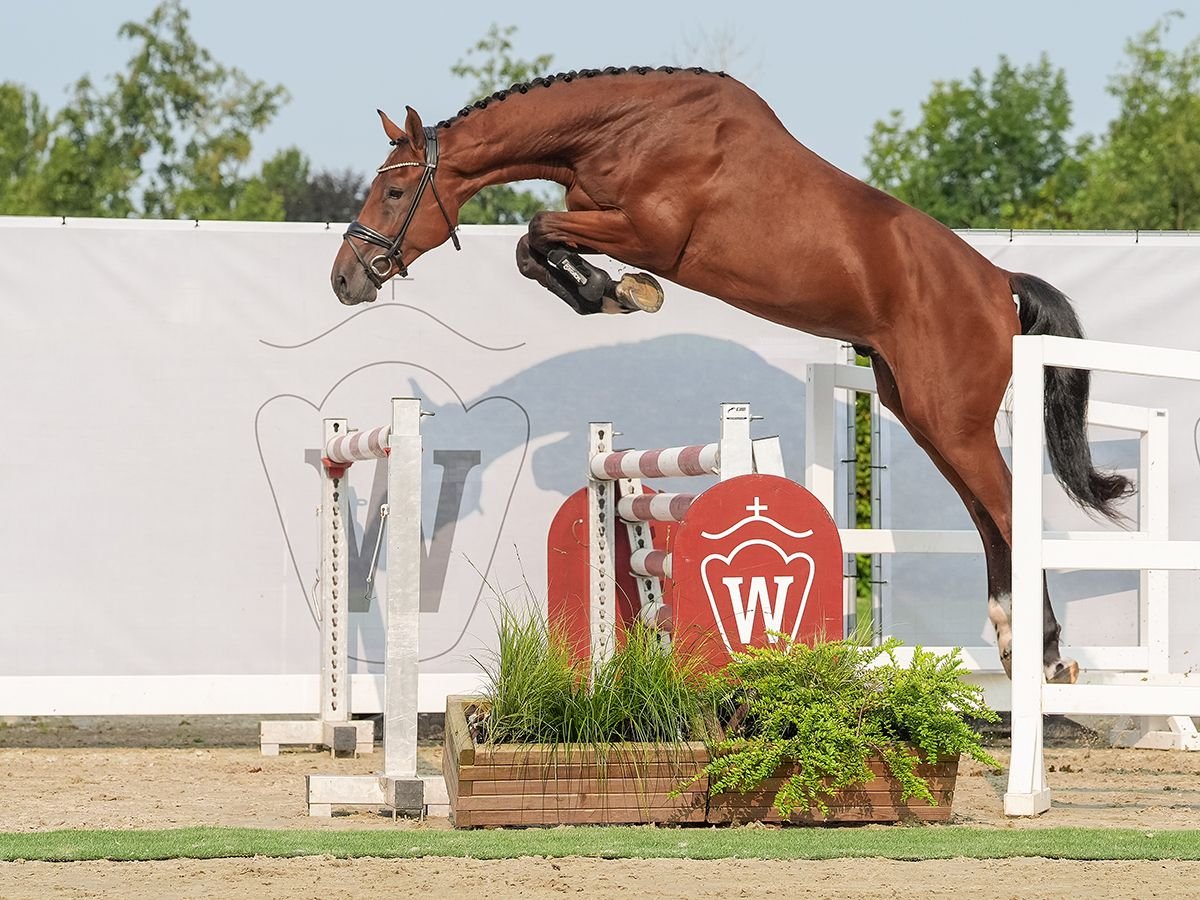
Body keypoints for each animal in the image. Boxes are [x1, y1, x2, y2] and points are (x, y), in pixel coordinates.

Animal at [331, 65, 1132, 681]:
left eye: (395, 194)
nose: (345, 279)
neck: (623, 129)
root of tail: (998, 283)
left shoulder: (647, 232)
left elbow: (536, 231)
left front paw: (621, 292)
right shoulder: (600, 218)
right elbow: (535, 246)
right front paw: (611, 292)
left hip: (950, 418)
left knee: (1006, 511)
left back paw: (1047, 654)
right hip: (923, 414)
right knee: (986, 516)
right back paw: (1010, 639)